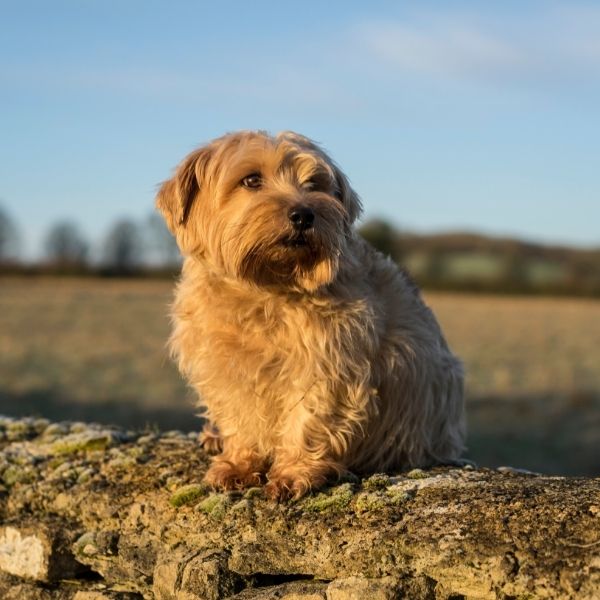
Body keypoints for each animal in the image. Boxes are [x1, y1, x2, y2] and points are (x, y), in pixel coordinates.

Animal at [155, 131, 464, 502]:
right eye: (251, 180)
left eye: (314, 184)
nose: (303, 214)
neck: (265, 289)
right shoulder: (223, 367)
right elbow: (240, 419)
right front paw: (239, 464)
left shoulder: (331, 363)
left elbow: (310, 417)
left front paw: (294, 472)